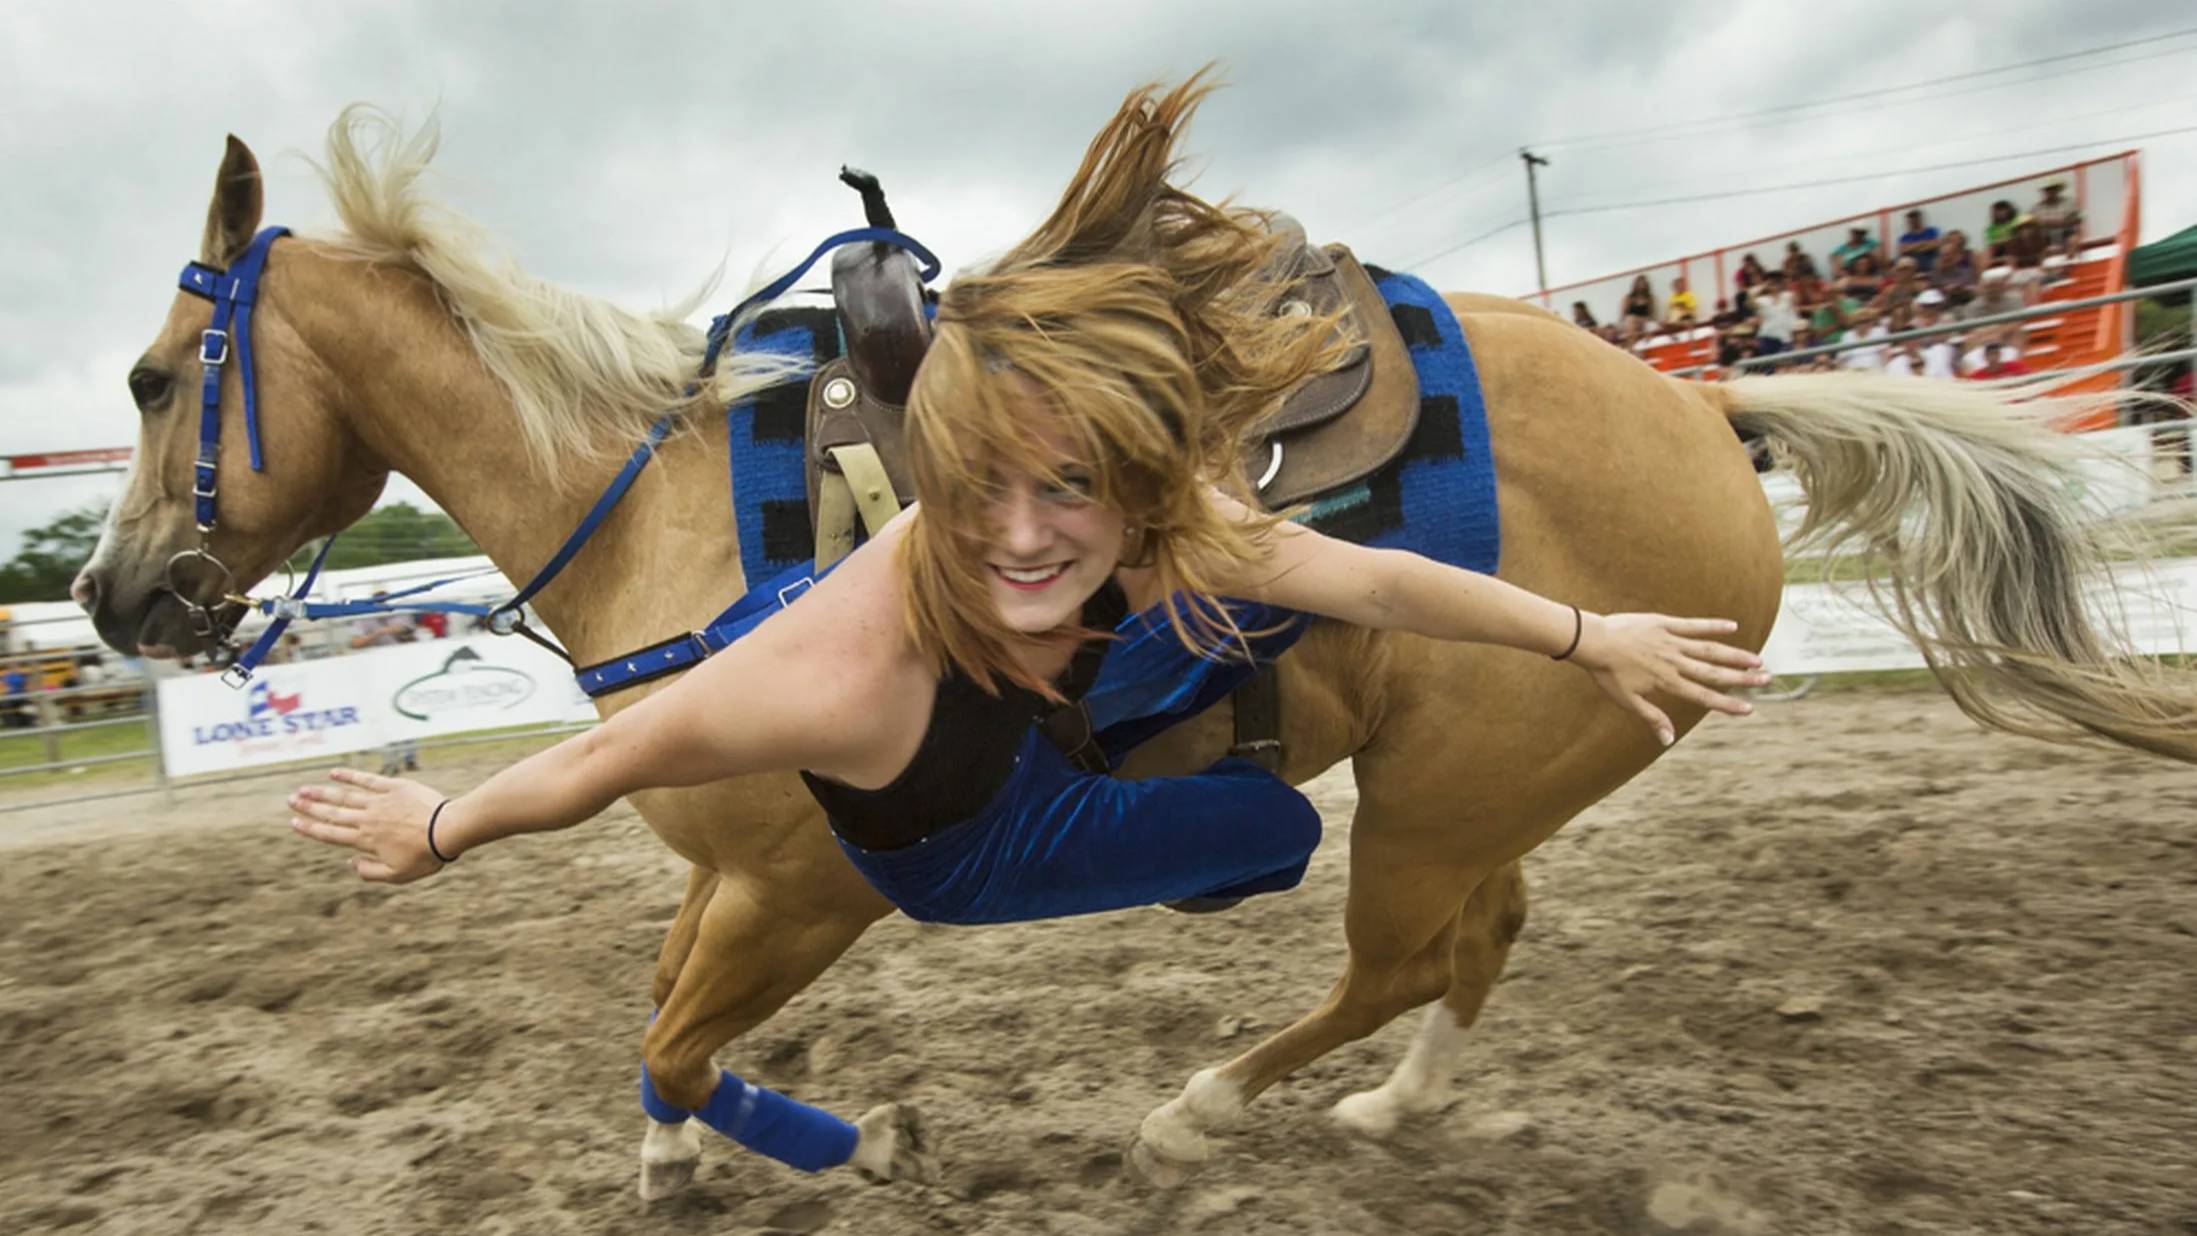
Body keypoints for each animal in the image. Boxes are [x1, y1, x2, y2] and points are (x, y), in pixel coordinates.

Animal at [74, 110, 2195, 1196]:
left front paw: (848, 1142)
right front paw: (681, 1163)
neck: (680, 516)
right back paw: (1393, 1112)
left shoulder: (804, 887)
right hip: (1490, 782)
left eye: (160, 377)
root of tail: (1708, 414)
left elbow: (678, 1035)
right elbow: (657, 1024)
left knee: (1398, 954)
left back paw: (1202, 1110)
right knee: (1478, 944)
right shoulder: (727, 873)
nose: (109, 600)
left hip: (1432, 797)